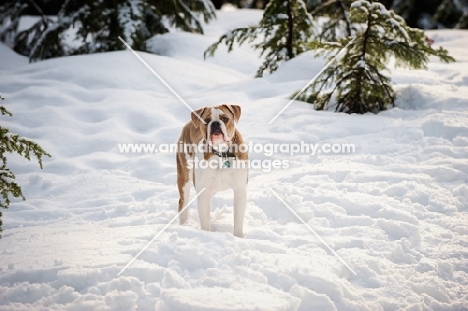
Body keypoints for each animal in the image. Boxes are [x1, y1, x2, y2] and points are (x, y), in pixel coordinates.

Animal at [176, 103, 249, 238]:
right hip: (184, 177)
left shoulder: (240, 190)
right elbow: (204, 221)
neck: (221, 153)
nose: (215, 123)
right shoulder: (203, 191)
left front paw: (238, 237)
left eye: (224, 118)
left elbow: (238, 219)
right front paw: (206, 234)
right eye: (206, 121)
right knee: (183, 203)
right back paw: (184, 225)